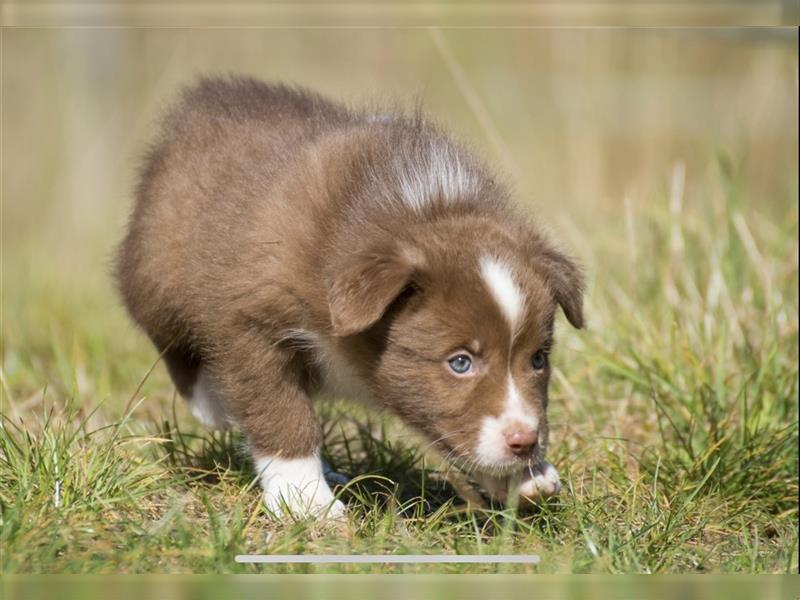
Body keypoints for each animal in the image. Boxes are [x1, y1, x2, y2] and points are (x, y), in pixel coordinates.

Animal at [115, 74, 584, 516]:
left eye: (538, 359)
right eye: (460, 362)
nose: (524, 441)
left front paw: (523, 477)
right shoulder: (252, 322)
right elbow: (281, 413)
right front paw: (304, 500)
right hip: (154, 267)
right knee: (165, 329)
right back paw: (213, 401)